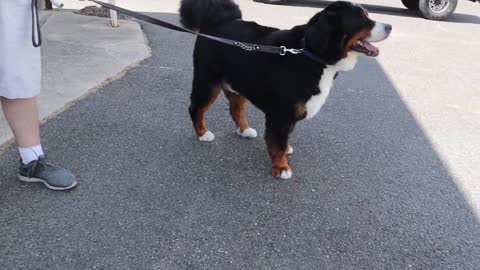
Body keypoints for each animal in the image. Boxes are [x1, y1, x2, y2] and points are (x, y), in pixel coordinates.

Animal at [179, 0, 390, 179]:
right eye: (362, 19)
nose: (390, 26)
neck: (310, 52)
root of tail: (216, 21)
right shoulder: (281, 113)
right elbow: (278, 143)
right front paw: (281, 168)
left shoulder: (292, 112)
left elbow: (286, 137)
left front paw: (286, 150)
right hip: (207, 83)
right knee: (196, 108)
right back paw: (203, 133)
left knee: (236, 108)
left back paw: (245, 130)